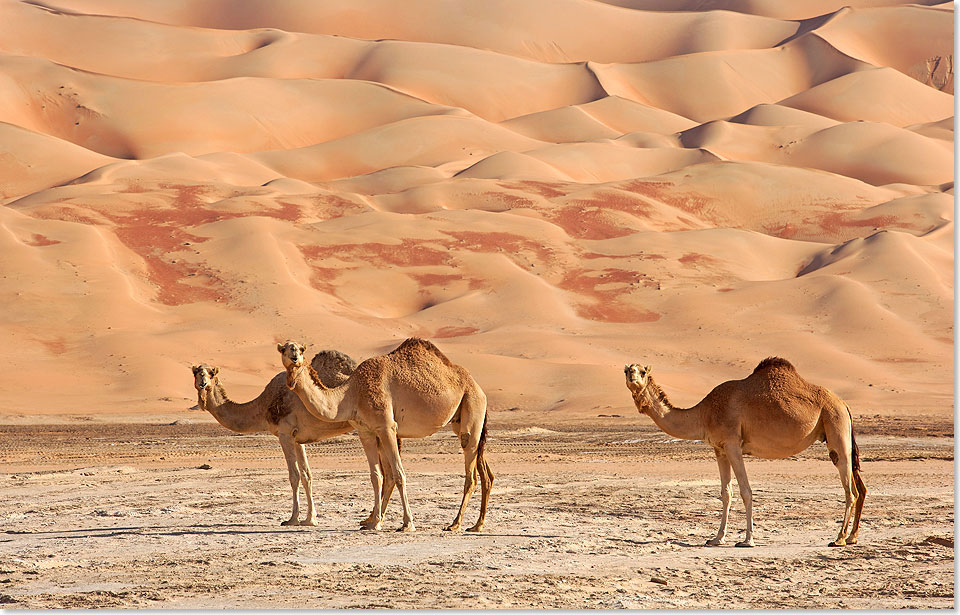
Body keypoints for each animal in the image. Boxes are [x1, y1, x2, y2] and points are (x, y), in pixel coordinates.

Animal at [191, 348, 364, 528]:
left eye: (211, 373)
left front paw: (292, 519)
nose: (203, 383)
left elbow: (294, 476)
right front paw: (310, 519)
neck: (264, 405)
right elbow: (306, 475)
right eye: (196, 372)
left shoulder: (284, 433)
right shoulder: (298, 438)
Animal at [274, 340, 492, 532]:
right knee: (482, 471)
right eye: (284, 349)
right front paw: (373, 523)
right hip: (461, 419)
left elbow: (398, 473)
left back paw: (455, 524)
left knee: (471, 473)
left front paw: (407, 524)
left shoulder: (387, 427)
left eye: (301, 349)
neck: (352, 393)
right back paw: (476, 525)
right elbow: (376, 476)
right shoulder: (366, 431)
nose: (294, 357)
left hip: (471, 406)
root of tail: (479, 388)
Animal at [628, 358, 868, 548]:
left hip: (835, 424)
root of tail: (844, 404)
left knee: (851, 489)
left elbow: (746, 491)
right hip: (838, 430)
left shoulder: (733, 444)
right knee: (859, 486)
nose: (631, 375)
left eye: (642, 371)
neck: (705, 413)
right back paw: (852, 537)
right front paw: (716, 538)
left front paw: (747, 540)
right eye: (626, 370)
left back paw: (839, 538)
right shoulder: (719, 449)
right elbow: (726, 493)